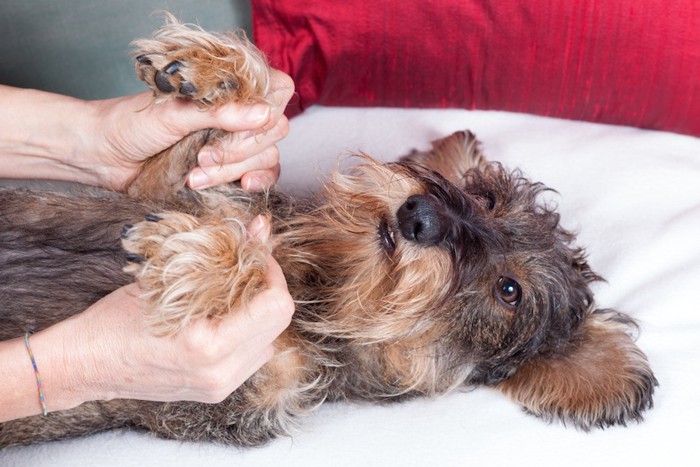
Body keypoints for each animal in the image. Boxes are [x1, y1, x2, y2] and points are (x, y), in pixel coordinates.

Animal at [0, 12, 656, 448]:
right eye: (485, 197)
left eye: (509, 290)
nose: (421, 215)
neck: (324, 280)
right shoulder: (164, 190)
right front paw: (216, 69)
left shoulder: (236, 394)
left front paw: (204, 262)